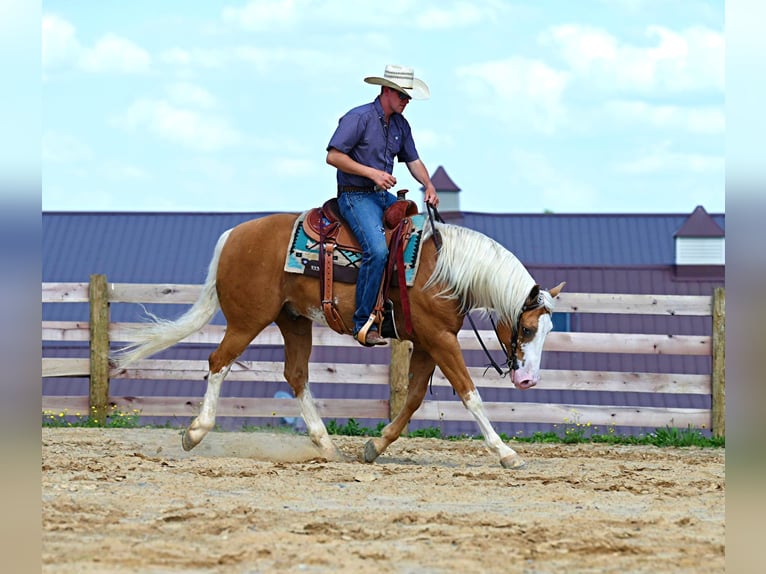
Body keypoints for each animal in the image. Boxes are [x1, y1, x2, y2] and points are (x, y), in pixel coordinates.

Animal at [115, 209, 568, 470]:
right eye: (528, 329)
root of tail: (234, 235)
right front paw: (506, 453)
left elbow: (413, 400)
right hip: (247, 320)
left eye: (548, 330)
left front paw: (375, 446)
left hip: (294, 321)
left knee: (296, 376)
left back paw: (327, 445)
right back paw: (195, 433)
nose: (528, 380)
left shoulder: (426, 341)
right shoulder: (440, 339)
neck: (446, 269)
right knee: (218, 362)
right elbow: (469, 394)